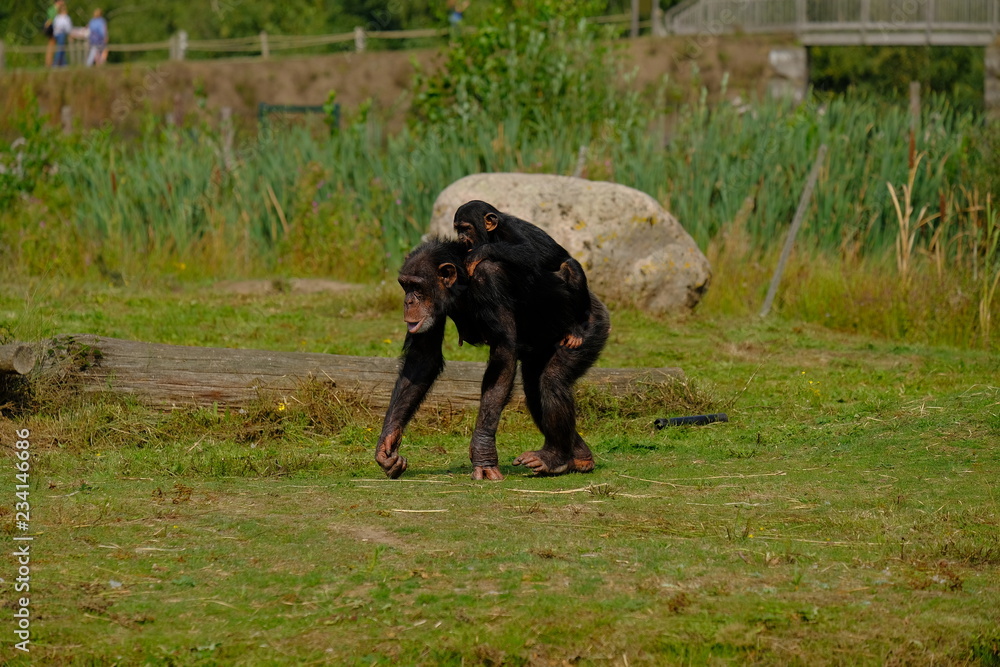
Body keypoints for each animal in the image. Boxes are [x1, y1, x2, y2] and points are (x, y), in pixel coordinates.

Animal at [376, 237, 608, 482]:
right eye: (405, 285)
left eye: (417, 287)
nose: (408, 301)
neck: (462, 284)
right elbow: (423, 357)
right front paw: (388, 443)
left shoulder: (489, 281)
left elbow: (503, 354)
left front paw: (483, 453)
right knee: (535, 390)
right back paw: (579, 457)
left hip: (589, 328)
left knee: (552, 382)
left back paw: (554, 457)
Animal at [450, 201, 588, 350]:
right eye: (458, 229)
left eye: (466, 228)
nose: (461, 237)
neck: (491, 234)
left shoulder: (510, 229)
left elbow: (529, 252)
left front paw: (479, 252)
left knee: (572, 268)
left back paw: (576, 331)